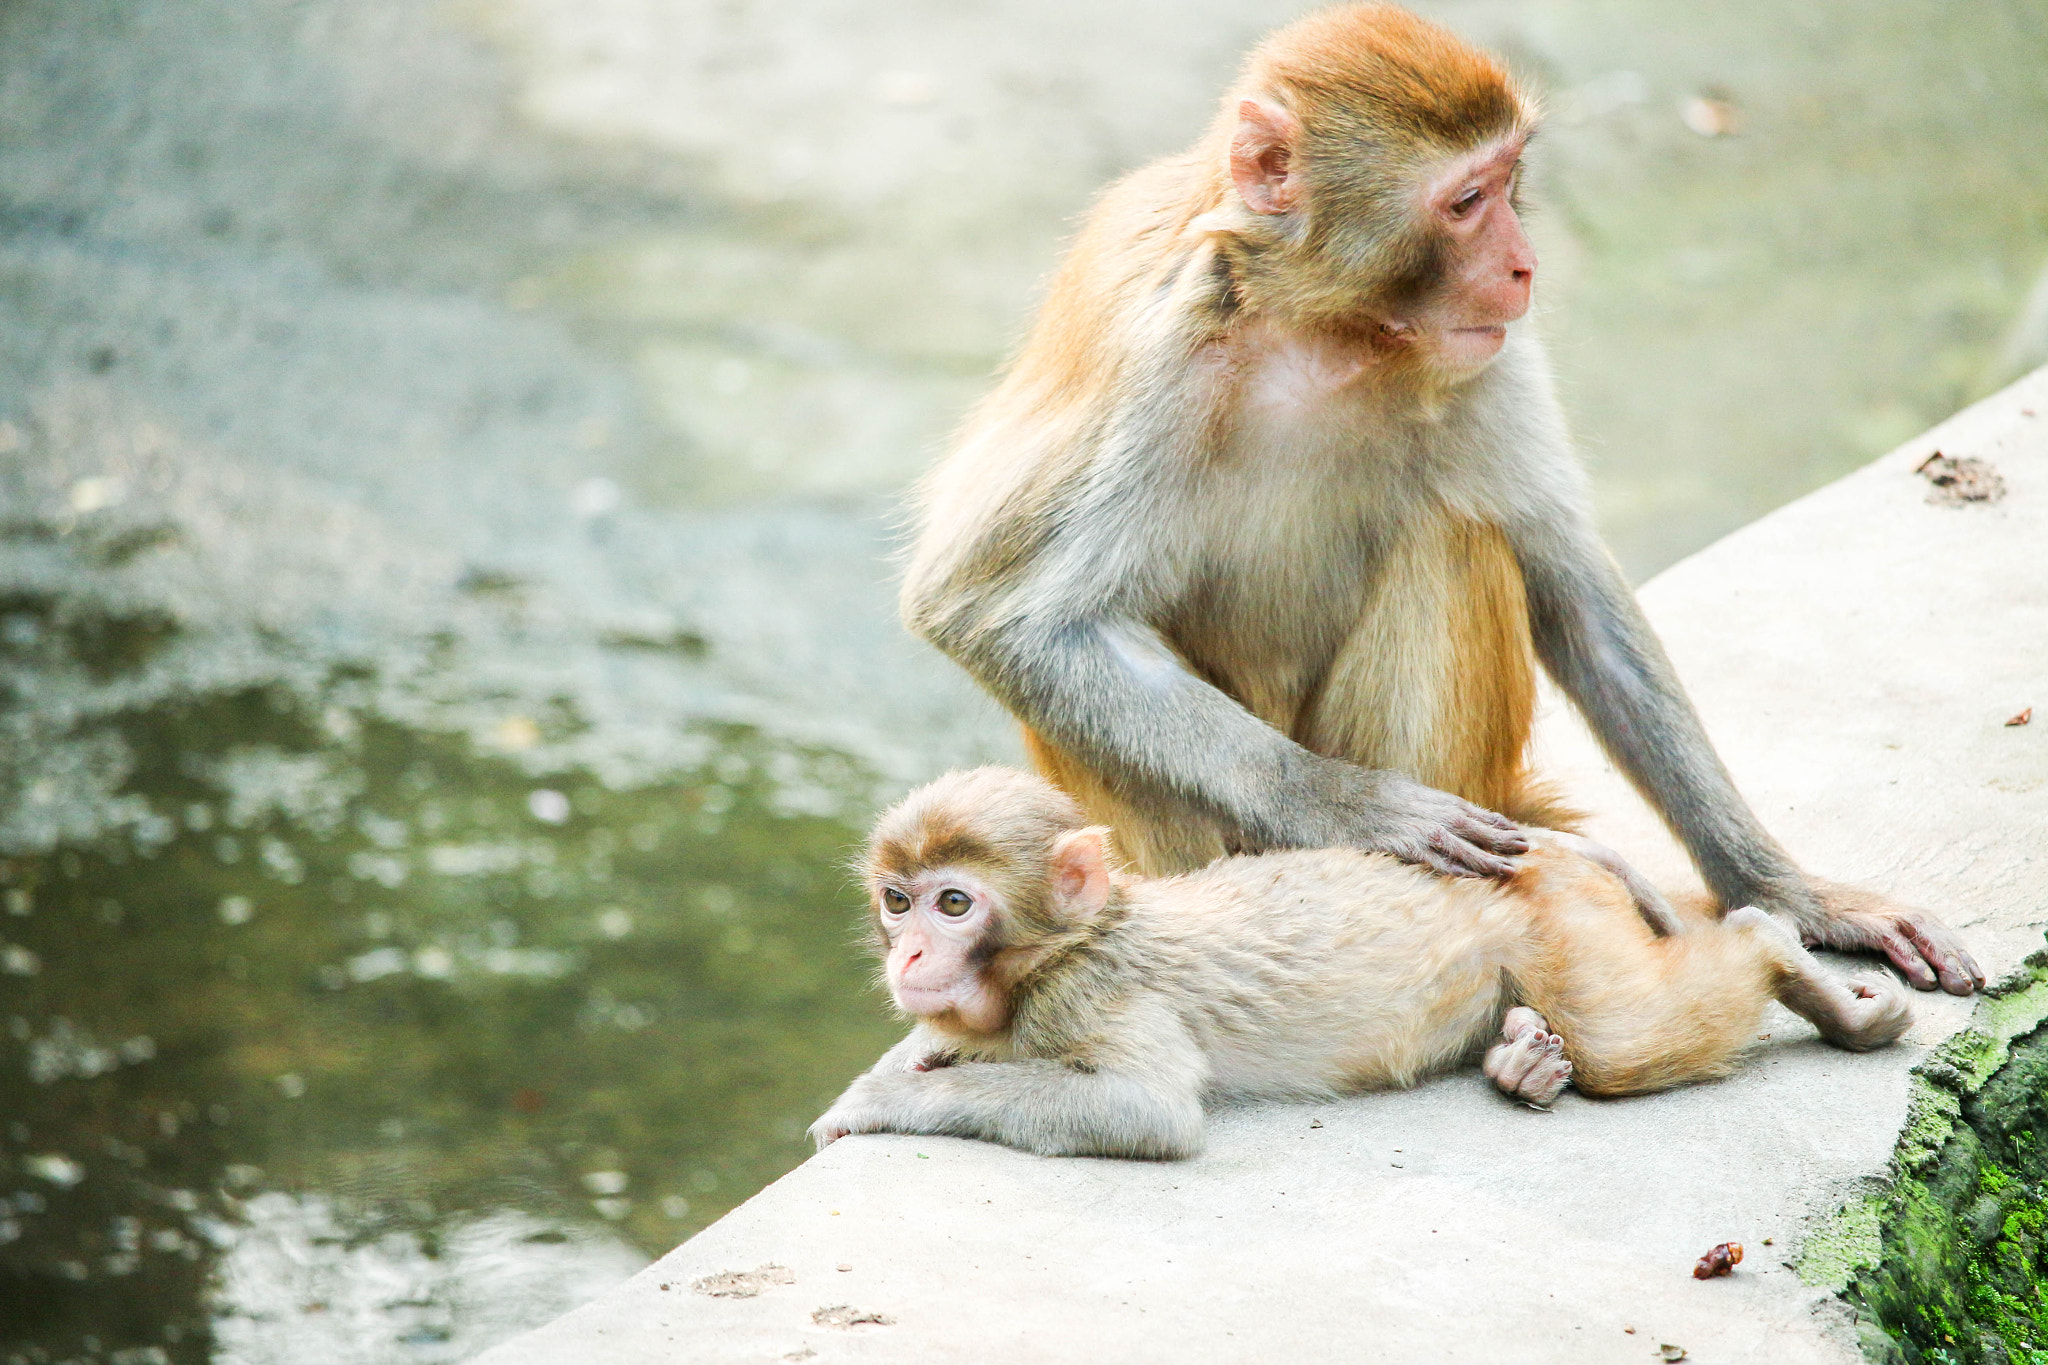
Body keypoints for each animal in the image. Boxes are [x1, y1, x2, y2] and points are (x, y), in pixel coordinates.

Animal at [808, 768, 1913, 1160]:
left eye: (956, 903)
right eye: (898, 900)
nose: (912, 950)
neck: (1065, 949)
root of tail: (1546, 849)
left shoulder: (1100, 998)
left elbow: (1145, 1111)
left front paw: (886, 1099)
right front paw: (901, 1063)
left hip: (1562, 924)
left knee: (1621, 1034)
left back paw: (1791, 960)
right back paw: (1522, 1055)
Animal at [897, 4, 1982, 994]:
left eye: (1507, 183)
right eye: (1465, 201)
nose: (1523, 265)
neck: (1324, 330)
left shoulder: (1488, 351)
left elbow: (1571, 585)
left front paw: (1787, 890)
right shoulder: (1156, 350)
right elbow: (995, 616)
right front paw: (1351, 807)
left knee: (1455, 538)